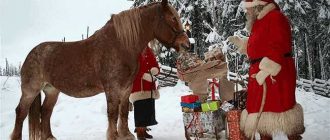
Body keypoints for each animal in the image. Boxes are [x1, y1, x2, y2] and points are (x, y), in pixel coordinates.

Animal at [10, 0, 189, 139]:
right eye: (172, 18)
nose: (187, 44)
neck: (120, 45)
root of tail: (31, 53)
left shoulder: (126, 89)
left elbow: (124, 112)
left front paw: (126, 135)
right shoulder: (112, 89)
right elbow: (113, 113)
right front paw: (113, 136)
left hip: (52, 91)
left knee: (45, 112)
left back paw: (49, 137)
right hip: (30, 91)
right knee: (21, 112)